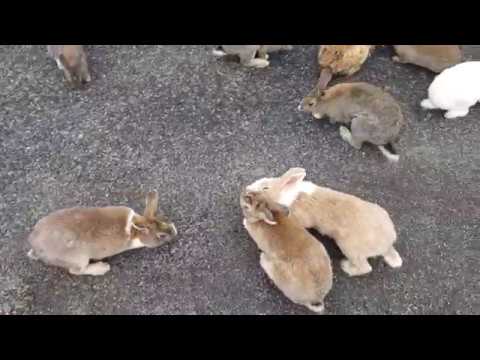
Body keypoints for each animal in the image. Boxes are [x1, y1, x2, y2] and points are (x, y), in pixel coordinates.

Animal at [26, 190, 176, 278]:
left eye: (165, 219)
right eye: (161, 236)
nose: (175, 232)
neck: (135, 232)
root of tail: (35, 247)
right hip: (79, 258)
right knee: (76, 271)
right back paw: (102, 268)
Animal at [248, 167, 402, 278]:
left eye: (265, 188)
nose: (248, 188)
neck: (286, 194)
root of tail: (387, 244)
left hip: (350, 248)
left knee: (365, 267)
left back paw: (346, 266)